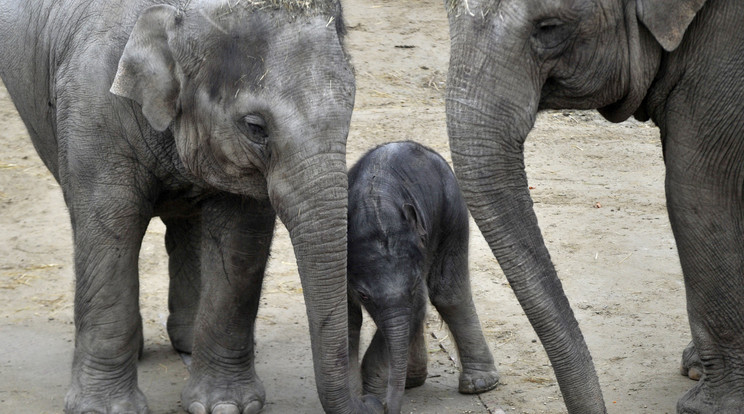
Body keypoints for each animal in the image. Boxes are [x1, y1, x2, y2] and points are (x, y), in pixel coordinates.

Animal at [0, 0, 380, 414]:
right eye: (255, 127)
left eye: (351, 108)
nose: (370, 400)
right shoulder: (94, 108)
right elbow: (109, 231)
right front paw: (104, 410)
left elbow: (239, 243)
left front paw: (227, 406)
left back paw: (187, 343)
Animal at [346, 142, 496, 414]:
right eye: (363, 295)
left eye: (414, 285)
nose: (382, 406)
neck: (376, 210)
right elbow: (348, 318)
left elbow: (417, 306)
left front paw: (372, 395)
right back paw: (411, 381)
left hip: (452, 205)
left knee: (448, 291)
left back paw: (480, 384)